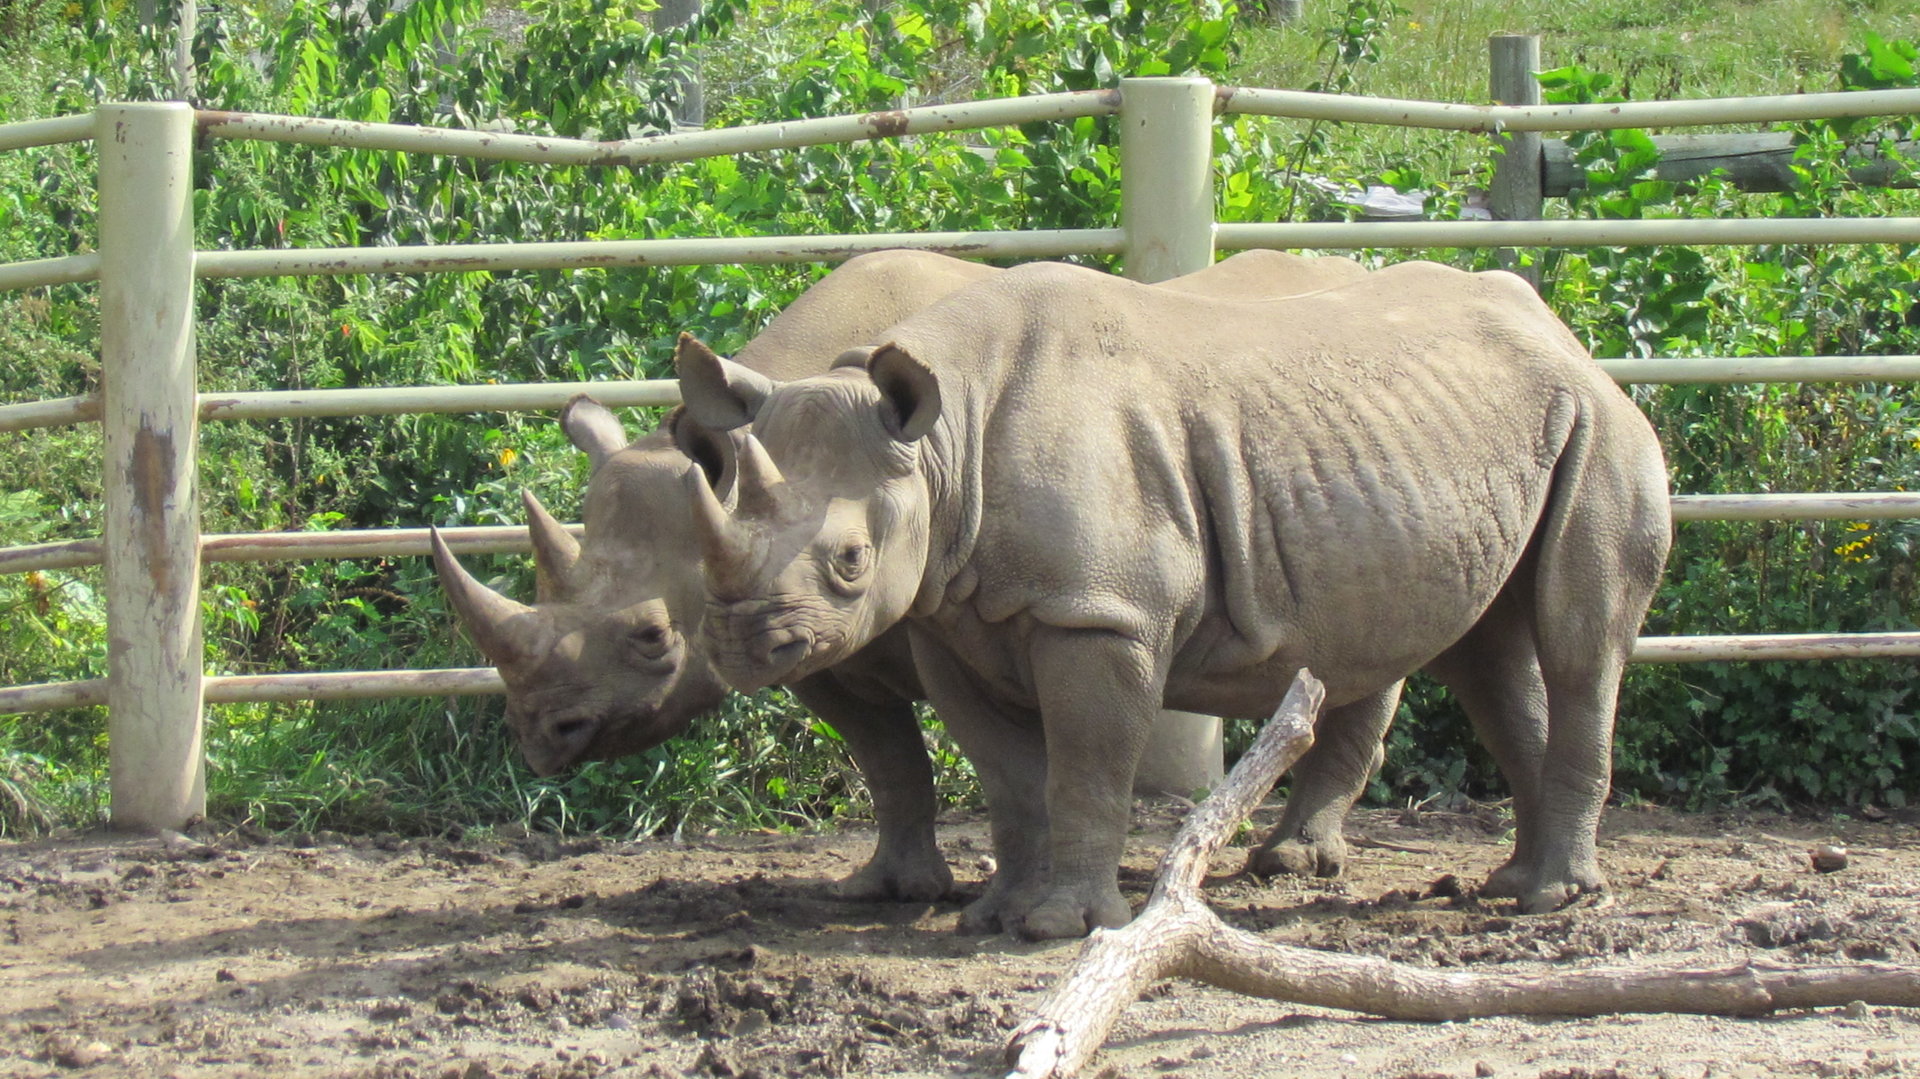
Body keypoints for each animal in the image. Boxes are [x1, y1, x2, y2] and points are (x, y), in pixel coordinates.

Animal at [434, 248, 1378, 904]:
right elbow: (888, 759)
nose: (540, 735)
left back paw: (1294, 862)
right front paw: (890, 889)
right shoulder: (816, 641)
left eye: (651, 635)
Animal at [674, 258, 1673, 940]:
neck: (943, 443)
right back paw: (1518, 884)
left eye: (849, 560)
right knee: (1488, 652)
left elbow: (1085, 764)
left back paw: (1549, 897)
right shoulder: (946, 615)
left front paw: (1060, 927)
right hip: (1493, 434)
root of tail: (1567, 336)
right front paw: (993, 915)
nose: (737, 643)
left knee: (1579, 647)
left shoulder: (1098, 612)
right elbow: (1009, 777)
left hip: (1603, 425)